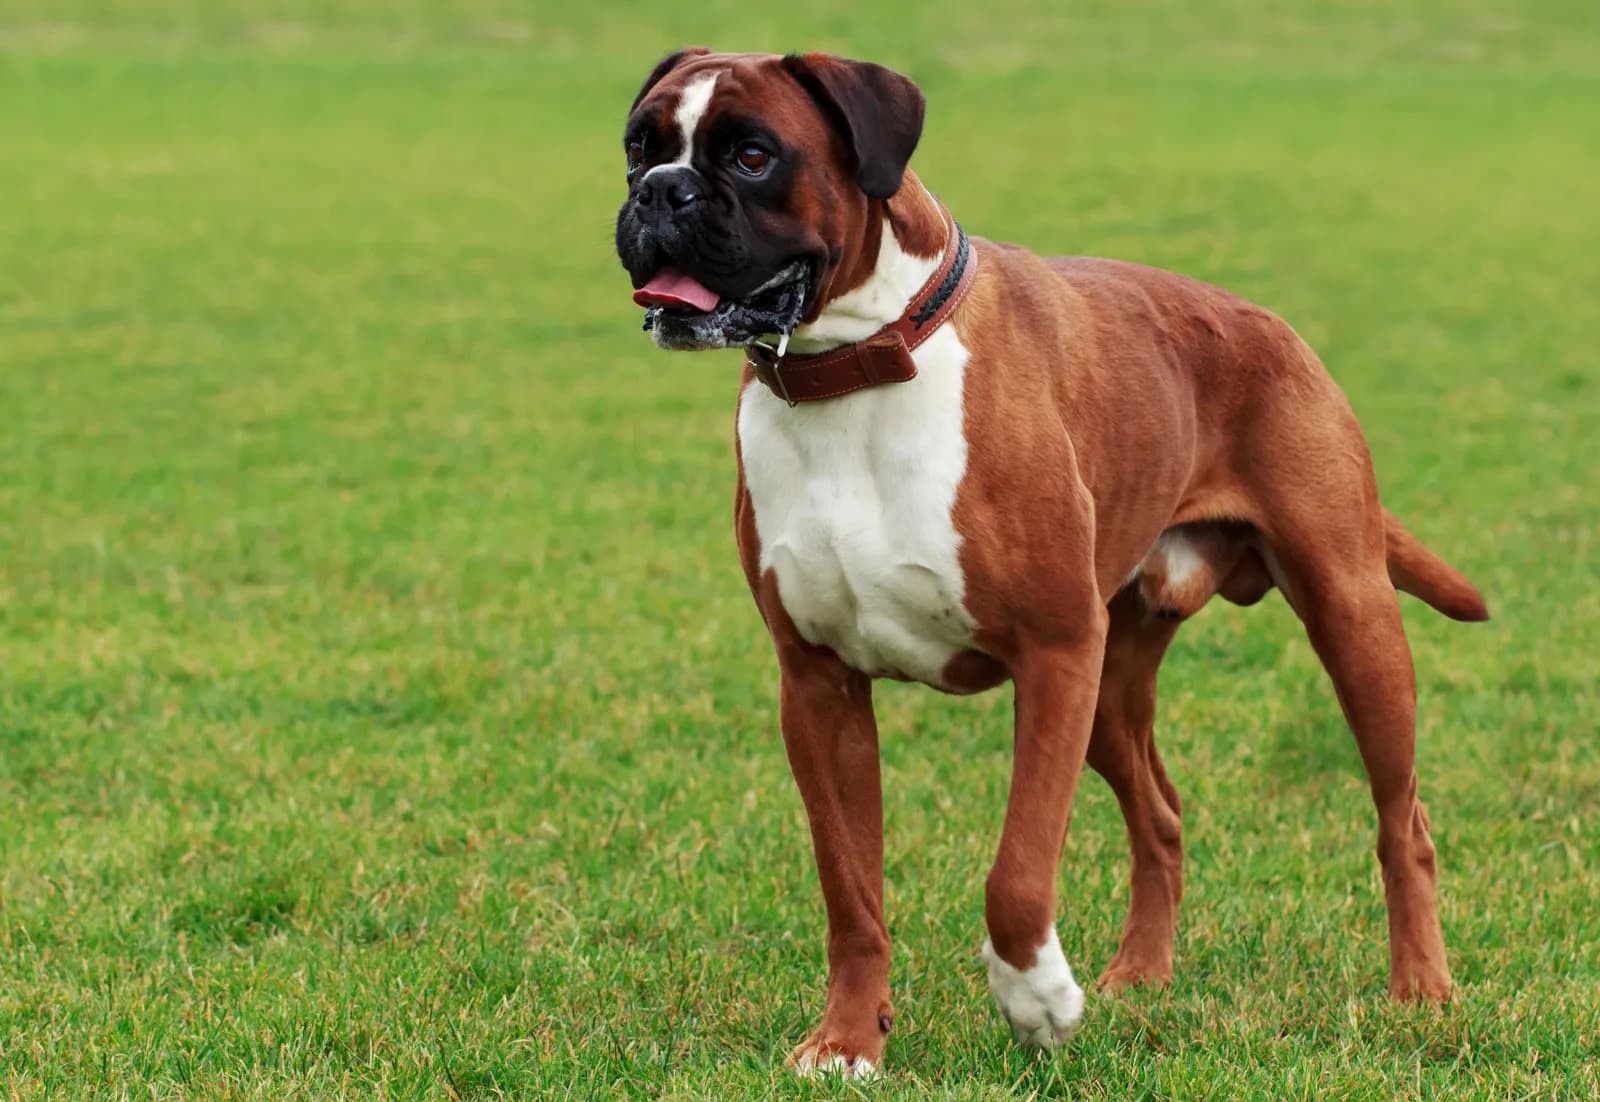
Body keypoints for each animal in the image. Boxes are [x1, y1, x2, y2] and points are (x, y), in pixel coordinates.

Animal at [611, 47, 1484, 1068]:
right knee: (1161, 818)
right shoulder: (819, 686)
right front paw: (848, 1040)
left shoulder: (1056, 655)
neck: (857, 368)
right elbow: (850, 890)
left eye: (752, 155)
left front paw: (1036, 1000)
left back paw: (1421, 990)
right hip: (1113, 691)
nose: (659, 193)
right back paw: (1140, 978)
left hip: (1349, 624)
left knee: (1403, 822)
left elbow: (1018, 872)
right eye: (639, 147)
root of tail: (1272, 325)